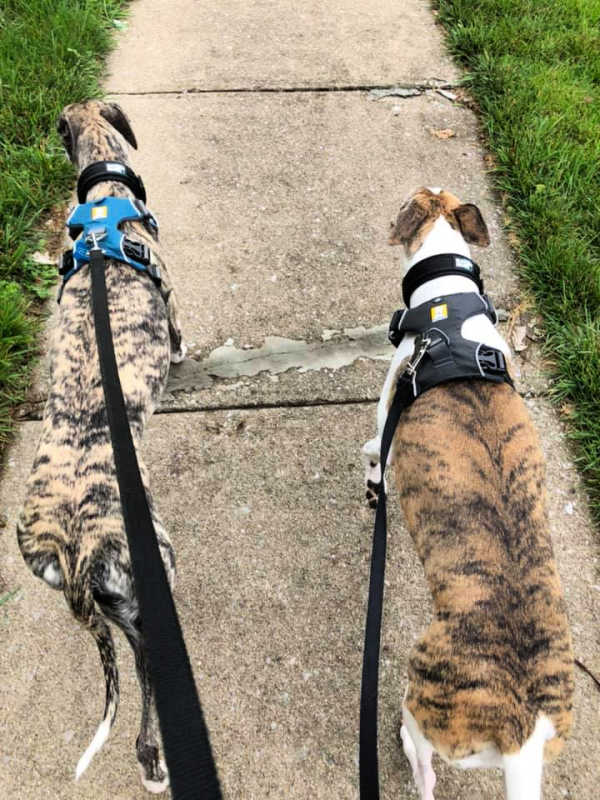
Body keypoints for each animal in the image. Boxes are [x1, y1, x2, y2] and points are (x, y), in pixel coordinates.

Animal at [360, 186, 572, 792]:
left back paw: (408, 749)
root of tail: (523, 734)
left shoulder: (388, 414)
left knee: (424, 768)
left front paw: (371, 478)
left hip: (422, 696)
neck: (446, 309)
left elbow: (372, 451)